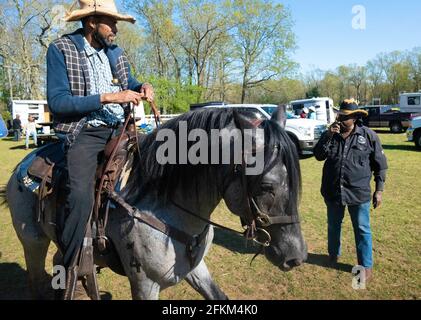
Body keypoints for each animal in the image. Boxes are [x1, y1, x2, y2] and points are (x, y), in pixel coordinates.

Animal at [4, 108, 306, 300]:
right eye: (267, 186)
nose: (296, 257)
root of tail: (25, 163)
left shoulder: (195, 269)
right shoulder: (144, 284)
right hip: (33, 242)